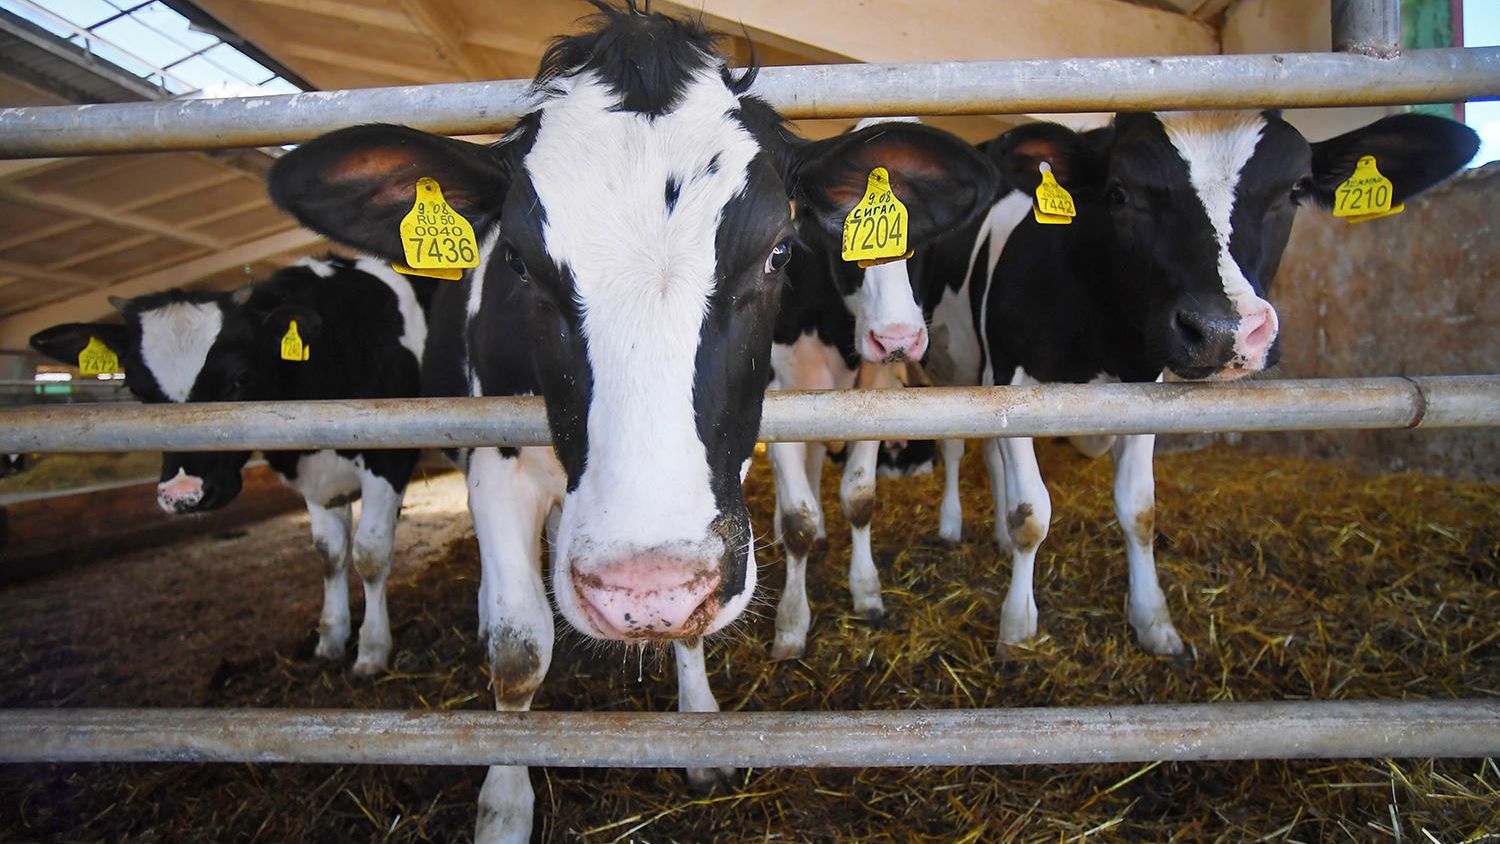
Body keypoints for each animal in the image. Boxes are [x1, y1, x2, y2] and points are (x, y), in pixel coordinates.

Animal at [29, 256, 432, 676]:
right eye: (138, 391)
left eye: (239, 379)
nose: (183, 494)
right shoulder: (316, 474)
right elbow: (329, 553)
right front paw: (331, 638)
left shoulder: (389, 458)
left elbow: (369, 554)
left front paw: (372, 650)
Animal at [767, 117, 997, 658]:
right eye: (840, 237)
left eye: (926, 241)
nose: (896, 339)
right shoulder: (778, 390)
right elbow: (796, 519)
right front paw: (790, 624)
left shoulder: (874, 388)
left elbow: (859, 496)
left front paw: (867, 592)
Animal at [922, 110, 1478, 659]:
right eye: (1119, 192)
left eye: (1295, 190)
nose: (1221, 330)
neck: (1102, 333)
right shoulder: (1012, 380)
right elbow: (1032, 514)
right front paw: (1017, 628)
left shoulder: (1140, 390)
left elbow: (1139, 510)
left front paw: (1153, 620)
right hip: (954, 365)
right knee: (956, 446)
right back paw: (951, 524)